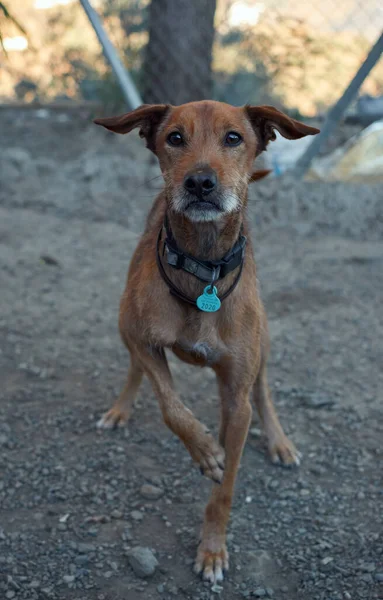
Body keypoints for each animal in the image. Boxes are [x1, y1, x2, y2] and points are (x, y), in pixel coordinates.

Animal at [94, 101, 320, 584]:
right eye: (175, 138)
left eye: (234, 138)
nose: (199, 182)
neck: (204, 271)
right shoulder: (140, 336)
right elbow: (171, 405)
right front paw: (204, 450)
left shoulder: (236, 397)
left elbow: (226, 486)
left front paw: (213, 549)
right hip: (125, 320)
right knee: (135, 370)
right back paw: (121, 410)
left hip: (263, 345)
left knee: (263, 392)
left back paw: (279, 442)